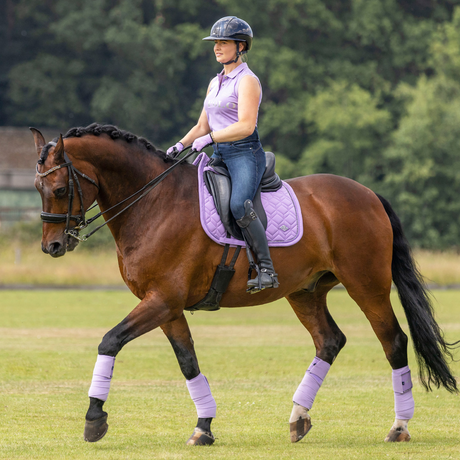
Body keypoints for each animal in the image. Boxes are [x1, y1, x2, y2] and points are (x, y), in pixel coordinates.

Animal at [30, 123, 458, 446]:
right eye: (38, 188)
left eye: (61, 189)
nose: (53, 246)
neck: (153, 202)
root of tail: (368, 193)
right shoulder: (167, 306)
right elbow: (188, 362)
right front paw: (203, 427)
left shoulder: (162, 300)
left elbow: (110, 341)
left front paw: (94, 418)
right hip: (305, 291)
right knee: (329, 340)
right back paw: (298, 417)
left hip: (366, 285)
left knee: (393, 341)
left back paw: (399, 426)